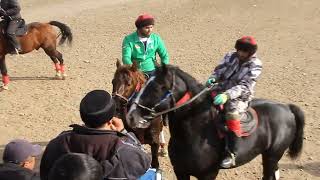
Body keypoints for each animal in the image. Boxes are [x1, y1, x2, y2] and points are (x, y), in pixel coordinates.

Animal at [125, 65, 304, 180]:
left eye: (158, 87)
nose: (130, 115)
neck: (194, 133)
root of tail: (286, 108)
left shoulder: (208, 175)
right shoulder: (180, 171)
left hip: (272, 156)